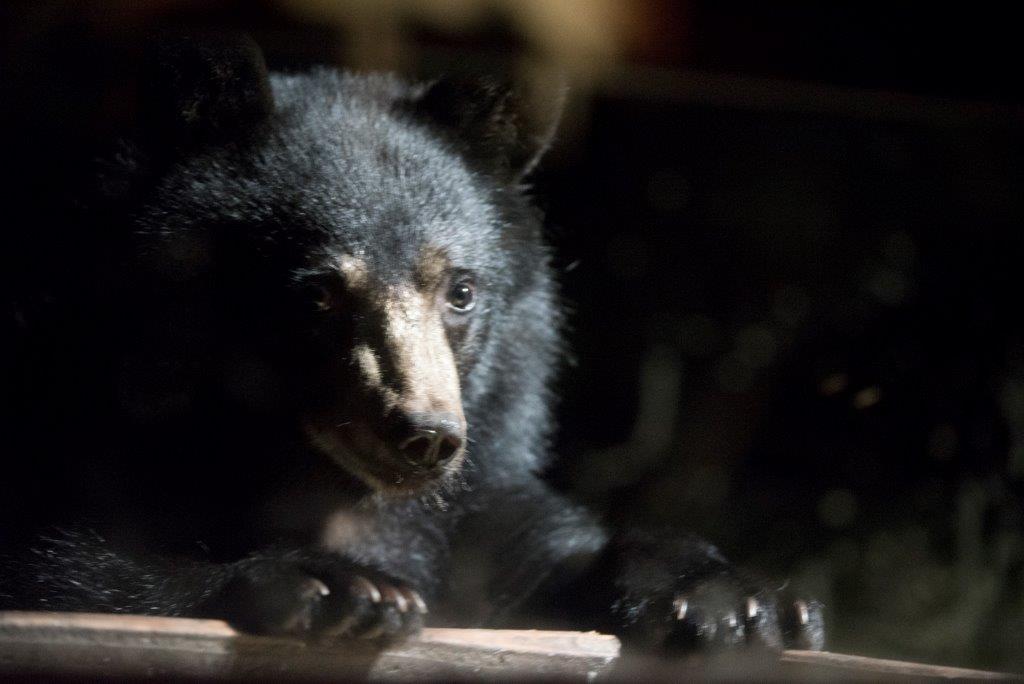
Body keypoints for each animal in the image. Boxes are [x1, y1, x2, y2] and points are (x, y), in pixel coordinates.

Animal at [0, 35, 823, 654]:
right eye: (316, 294)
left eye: (459, 290)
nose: (424, 435)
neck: (325, 484)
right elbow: (71, 564)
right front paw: (343, 587)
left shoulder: (476, 494)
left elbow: (541, 552)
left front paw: (734, 601)